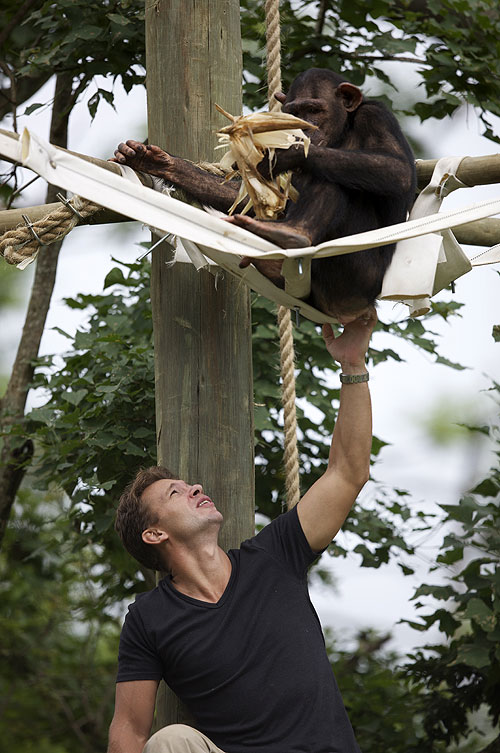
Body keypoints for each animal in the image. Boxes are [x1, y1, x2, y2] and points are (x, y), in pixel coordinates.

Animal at [112, 67, 414, 320]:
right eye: (295, 113)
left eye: (314, 109)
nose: (304, 128)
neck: (343, 129)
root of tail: (352, 310)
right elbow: (248, 196)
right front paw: (157, 162)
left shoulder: (375, 117)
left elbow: (397, 170)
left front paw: (288, 152)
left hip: (357, 279)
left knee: (335, 178)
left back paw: (289, 234)